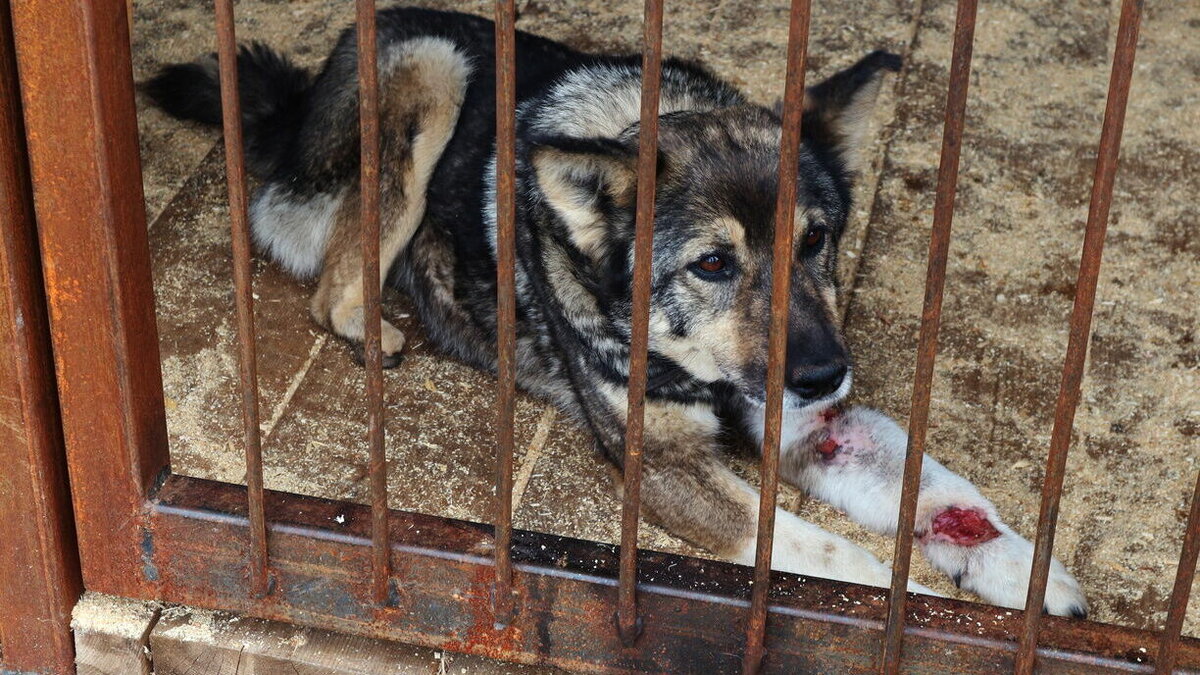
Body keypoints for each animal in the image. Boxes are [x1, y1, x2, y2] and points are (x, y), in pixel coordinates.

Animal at [147, 5, 1089, 614]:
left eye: (816, 240)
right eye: (713, 264)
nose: (826, 374)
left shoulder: (805, 424)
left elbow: (936, 482)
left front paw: (1024, 573)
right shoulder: (665, 468)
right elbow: (832, 558)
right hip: (430, 67)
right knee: (328, 280)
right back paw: (377, 327)